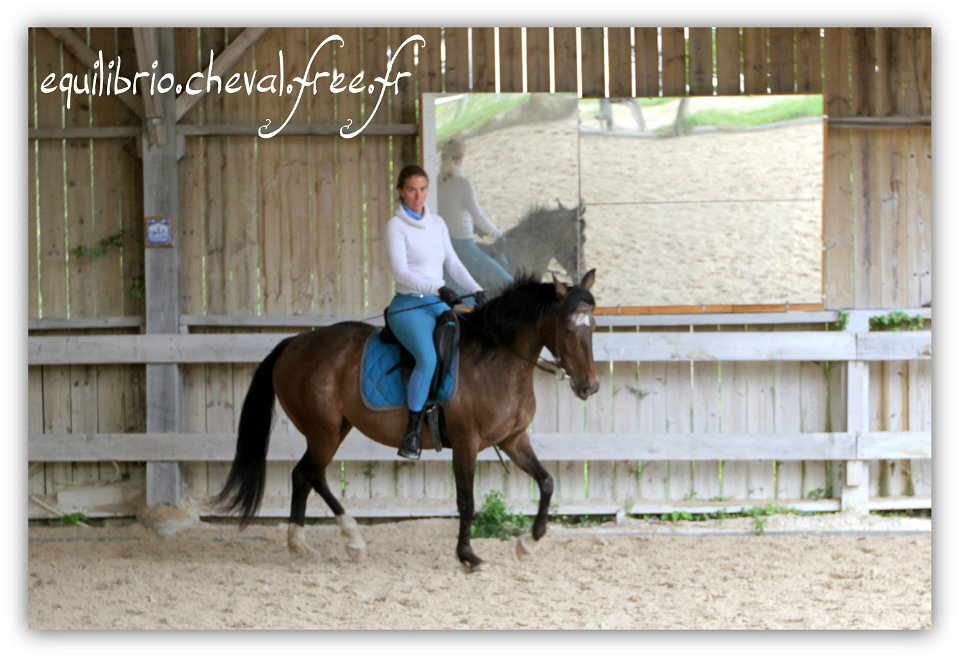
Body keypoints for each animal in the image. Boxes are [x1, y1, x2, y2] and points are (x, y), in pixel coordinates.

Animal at [216, 270, 600, 568]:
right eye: (568, 329)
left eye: (593, 326)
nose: (590, 386)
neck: (496, 360)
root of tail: (293, 343)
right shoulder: (466, 443)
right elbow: (466, 501)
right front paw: (468, 556)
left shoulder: (513, 439)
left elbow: (546, 482)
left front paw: (527, 543)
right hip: (323, 431)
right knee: (308, 473)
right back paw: (342, 539)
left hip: (335, 429)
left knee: (306, 475)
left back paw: (310, 544)